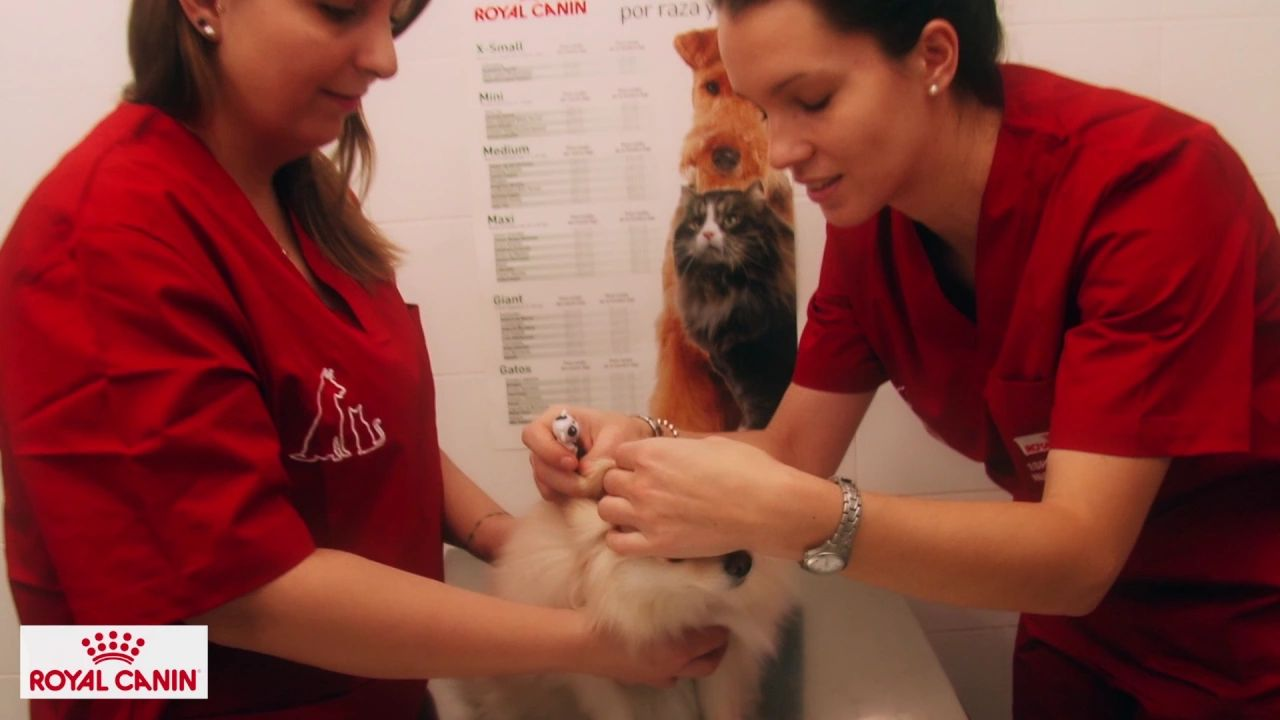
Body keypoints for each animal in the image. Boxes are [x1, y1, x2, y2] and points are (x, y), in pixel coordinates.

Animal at [675, 181, 793, 427]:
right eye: (696, 223)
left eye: (731, 220)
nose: (708, 233)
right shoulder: (732, 369)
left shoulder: (763, 374)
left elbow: (763, 413)